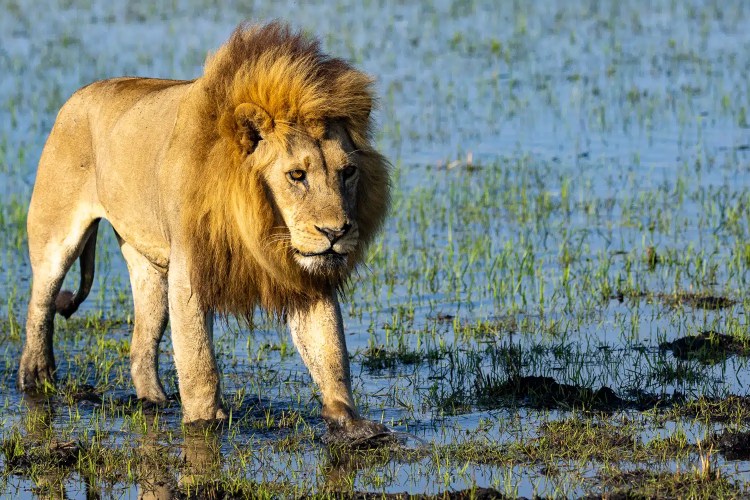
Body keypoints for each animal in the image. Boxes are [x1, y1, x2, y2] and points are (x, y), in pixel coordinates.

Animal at [18, 22, 391, 440]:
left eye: (348, 172)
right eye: (297, 175)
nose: (336, 232)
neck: (259, 227)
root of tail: (78, 95)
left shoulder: (304, 276)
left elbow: (329, 351)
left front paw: (352, 424)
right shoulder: (190, 269)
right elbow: (199, 364)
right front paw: (205, 424)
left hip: (148, 267)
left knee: (142, 343)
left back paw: (154, 400)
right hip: (55, 236)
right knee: (39, 305)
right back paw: (36, 377)